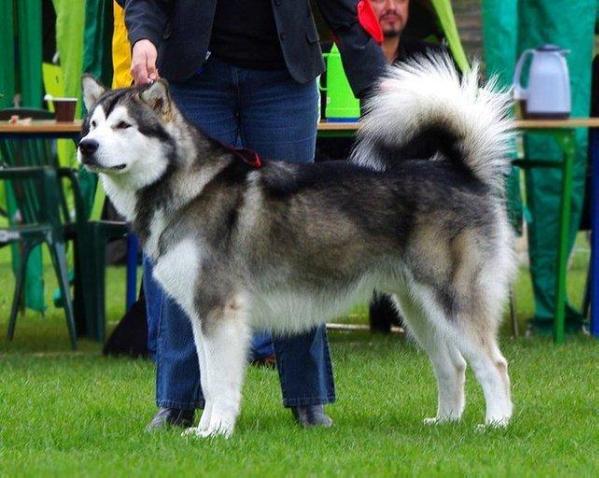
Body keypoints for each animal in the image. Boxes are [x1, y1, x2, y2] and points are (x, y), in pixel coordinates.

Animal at [78, 55, 516, 436]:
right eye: (94, 123)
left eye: (123, 125)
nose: (85, 145)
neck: (186, 186)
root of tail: (459, 172)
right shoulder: (202, 315)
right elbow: (206, 378)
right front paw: (201, 431)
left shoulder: (220, 311)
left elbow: (219, 382)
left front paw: (216, 432)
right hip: (417, 307)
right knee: (453, 365)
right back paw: (445, 422)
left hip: (450, 299)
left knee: (493, 363)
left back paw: (495, 424)